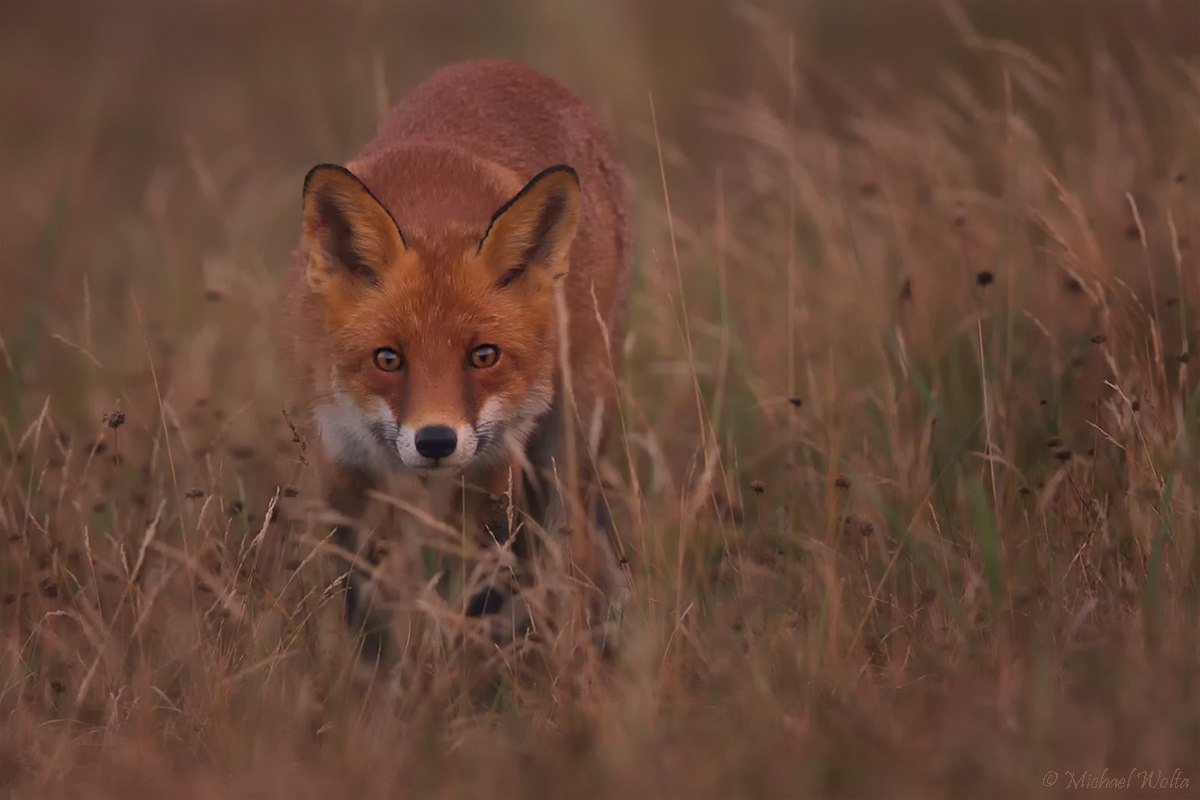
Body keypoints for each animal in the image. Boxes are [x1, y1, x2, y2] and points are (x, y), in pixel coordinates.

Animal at [279, 59, 633, 662]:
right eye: (388, 359)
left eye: (483, 355)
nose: (436, 441)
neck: (431, 204)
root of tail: (503, 64)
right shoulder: (342, 462)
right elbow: (363, 607)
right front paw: (372, 677)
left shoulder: (493, 470)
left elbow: (478, 593)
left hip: (570, 440)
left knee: (575, 554)